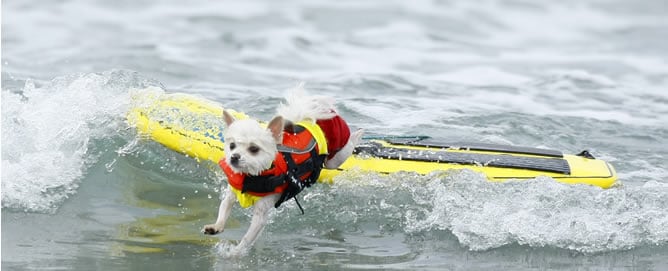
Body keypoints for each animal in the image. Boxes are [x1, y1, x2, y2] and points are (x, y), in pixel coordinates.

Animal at [202, 87, 362, 255]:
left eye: (254, 149)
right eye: (232, 146)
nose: (234, 157)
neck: (252, 177)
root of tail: (311, 118)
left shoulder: (261, 214)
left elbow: (247, 237)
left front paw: (236, 252)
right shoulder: (231, 194)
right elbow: (223, 210)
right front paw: (216, 227)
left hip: (335, 158)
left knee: (346, 148)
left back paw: (358, 134)